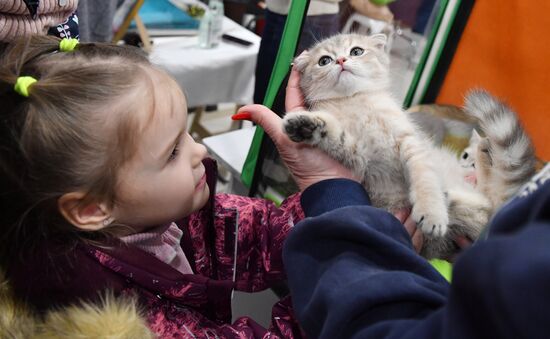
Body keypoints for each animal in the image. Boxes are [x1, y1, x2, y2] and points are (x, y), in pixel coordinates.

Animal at [286, 33, 536, 258]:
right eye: (324, 61)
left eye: (356, 51)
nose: (340, 60)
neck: (355, 101)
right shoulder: (358, 153)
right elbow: (334, 135)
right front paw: (305, 126)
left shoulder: (411, 143)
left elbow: (425, 180)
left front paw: (432, 212)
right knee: (485, 203)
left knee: (488, 202)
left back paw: (481, 154)